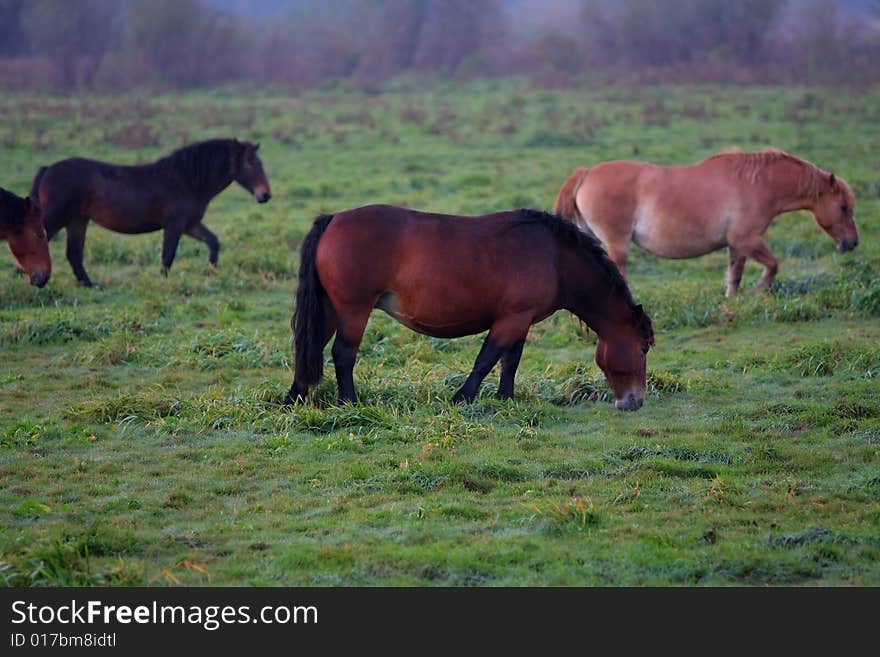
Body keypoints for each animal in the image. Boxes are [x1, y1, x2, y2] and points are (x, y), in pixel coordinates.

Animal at [30, 138, 272, 284]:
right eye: (250, 163)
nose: (265, 195)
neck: (186, 181)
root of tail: (48, 169)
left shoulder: (190, 225)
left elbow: (213, 242)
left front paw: (212, 272)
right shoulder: (174, 225)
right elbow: (168, 255)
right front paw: (163, 282)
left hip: (77, 220)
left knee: (74, 254)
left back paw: (90, 285)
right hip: (56, 218)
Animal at [284, 205, 652, 410]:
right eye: (644, 348)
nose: (635, 401)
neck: (554, 256)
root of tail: (333, 219)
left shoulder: (521, 320)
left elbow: (510, 361)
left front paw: (506, 398)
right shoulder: (510, 320)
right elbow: (486, 360)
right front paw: (462, 398)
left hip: (331, 310)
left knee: (312, 348)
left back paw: (294, 398)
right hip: (353, 311)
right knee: (343, 354)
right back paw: (349, 402)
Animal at [556, 150, 860, 296]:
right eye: (843, 207)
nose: (852, 243)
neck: (758, 184)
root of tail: (587, 173)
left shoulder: (737, 245)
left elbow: (735, 274)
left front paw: (733, 301)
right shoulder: (747, 240)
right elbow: (772, 266)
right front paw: (755, 292)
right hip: (617, 244)